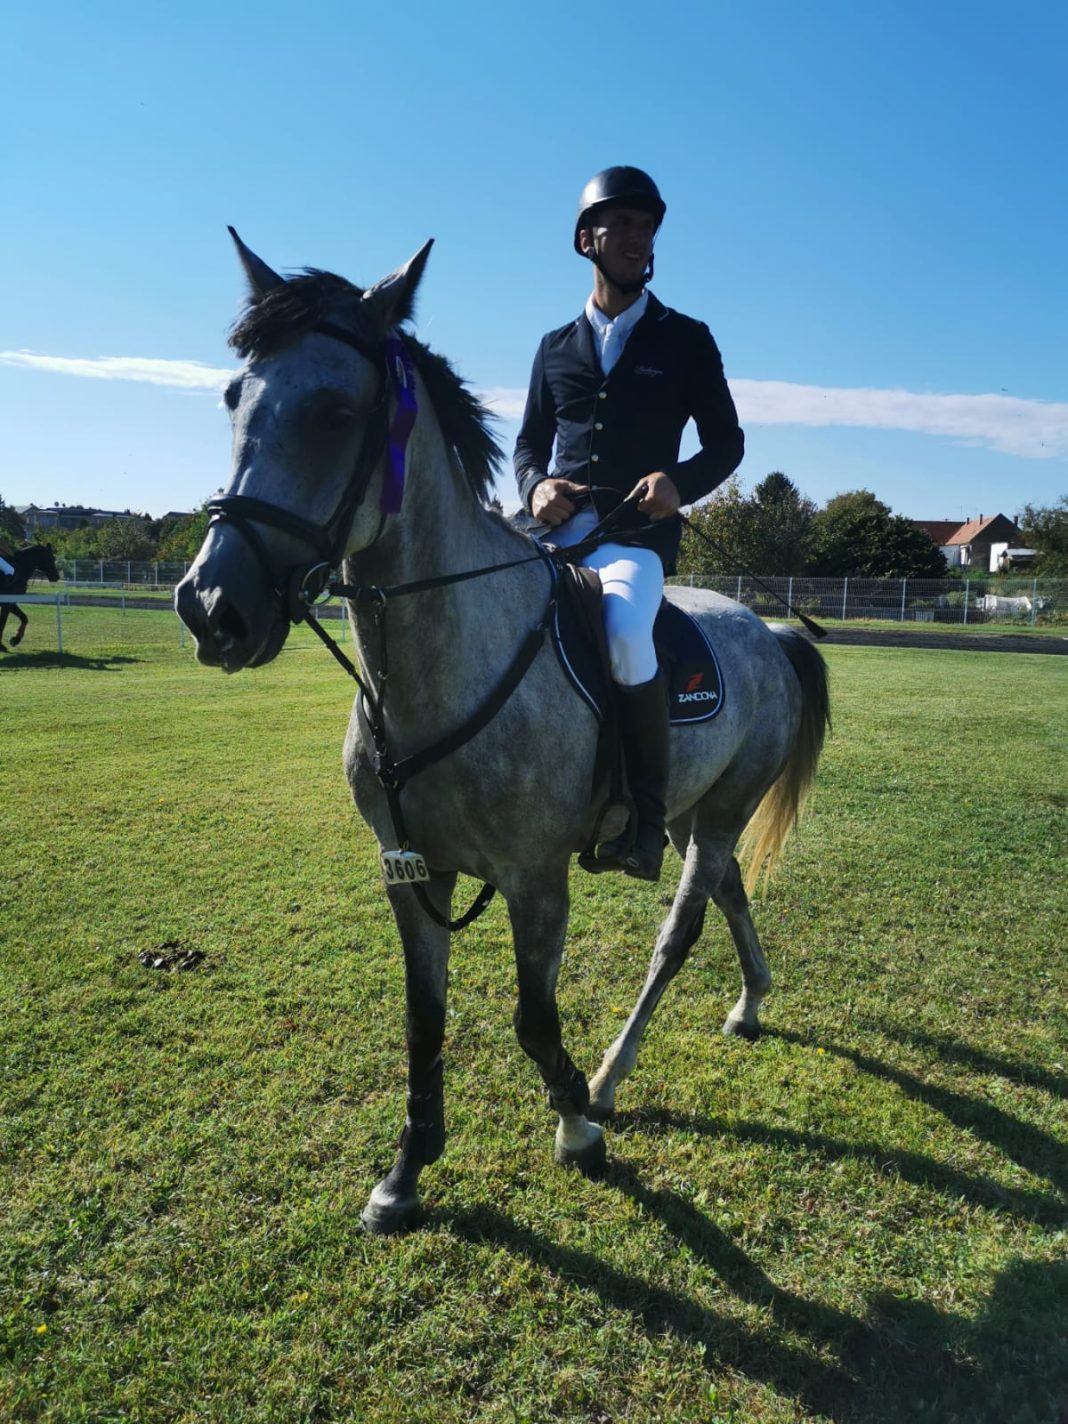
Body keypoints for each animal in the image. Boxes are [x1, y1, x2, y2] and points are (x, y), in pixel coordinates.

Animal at [175, 233, 831, 1236]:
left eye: (336, 411)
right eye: (231, 397)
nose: (213, 609)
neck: (437, 669)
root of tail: (768, 631)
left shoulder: (535, 880)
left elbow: (532, 1019)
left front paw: (576, 1128)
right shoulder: (411, 873)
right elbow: (424, 1019)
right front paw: (404, 1174)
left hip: (722, 810)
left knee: (679, 930)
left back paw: (609, 1079)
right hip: (689, 811)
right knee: (727, 894)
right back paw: (750, 1004)